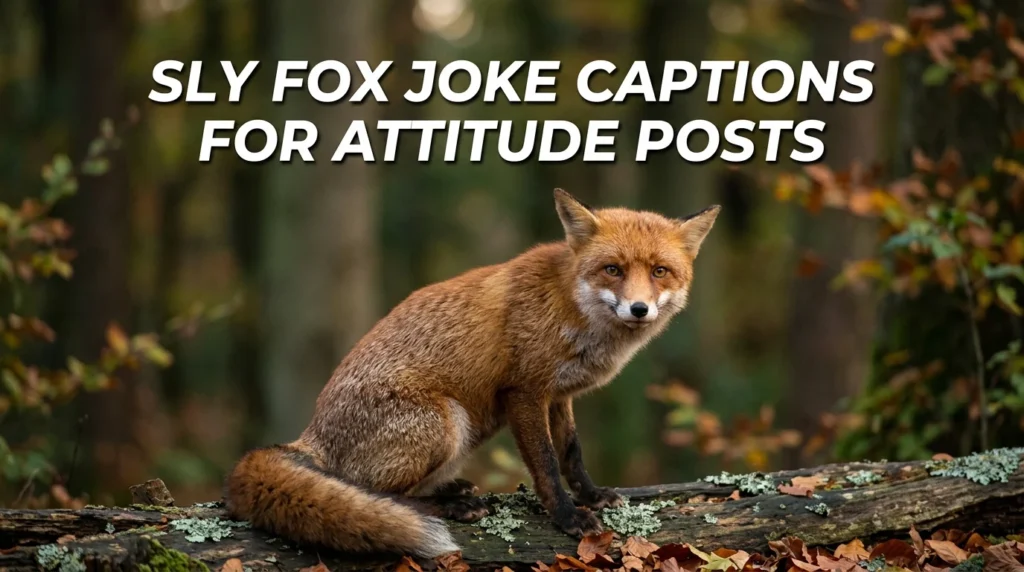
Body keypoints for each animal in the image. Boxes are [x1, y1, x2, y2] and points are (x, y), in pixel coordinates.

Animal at [224, 189, 719, 557]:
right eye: (612, 269)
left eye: (660, 271)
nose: (639, 309)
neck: (572, 312)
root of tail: (310, 438)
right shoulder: (524, 392)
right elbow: (545, 464)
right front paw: (567, 516)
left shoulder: (559, 394)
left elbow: (572, 454)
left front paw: (593, 495)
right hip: (447, 421)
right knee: (372, 492)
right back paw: (449, 506)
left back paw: (452, 490)